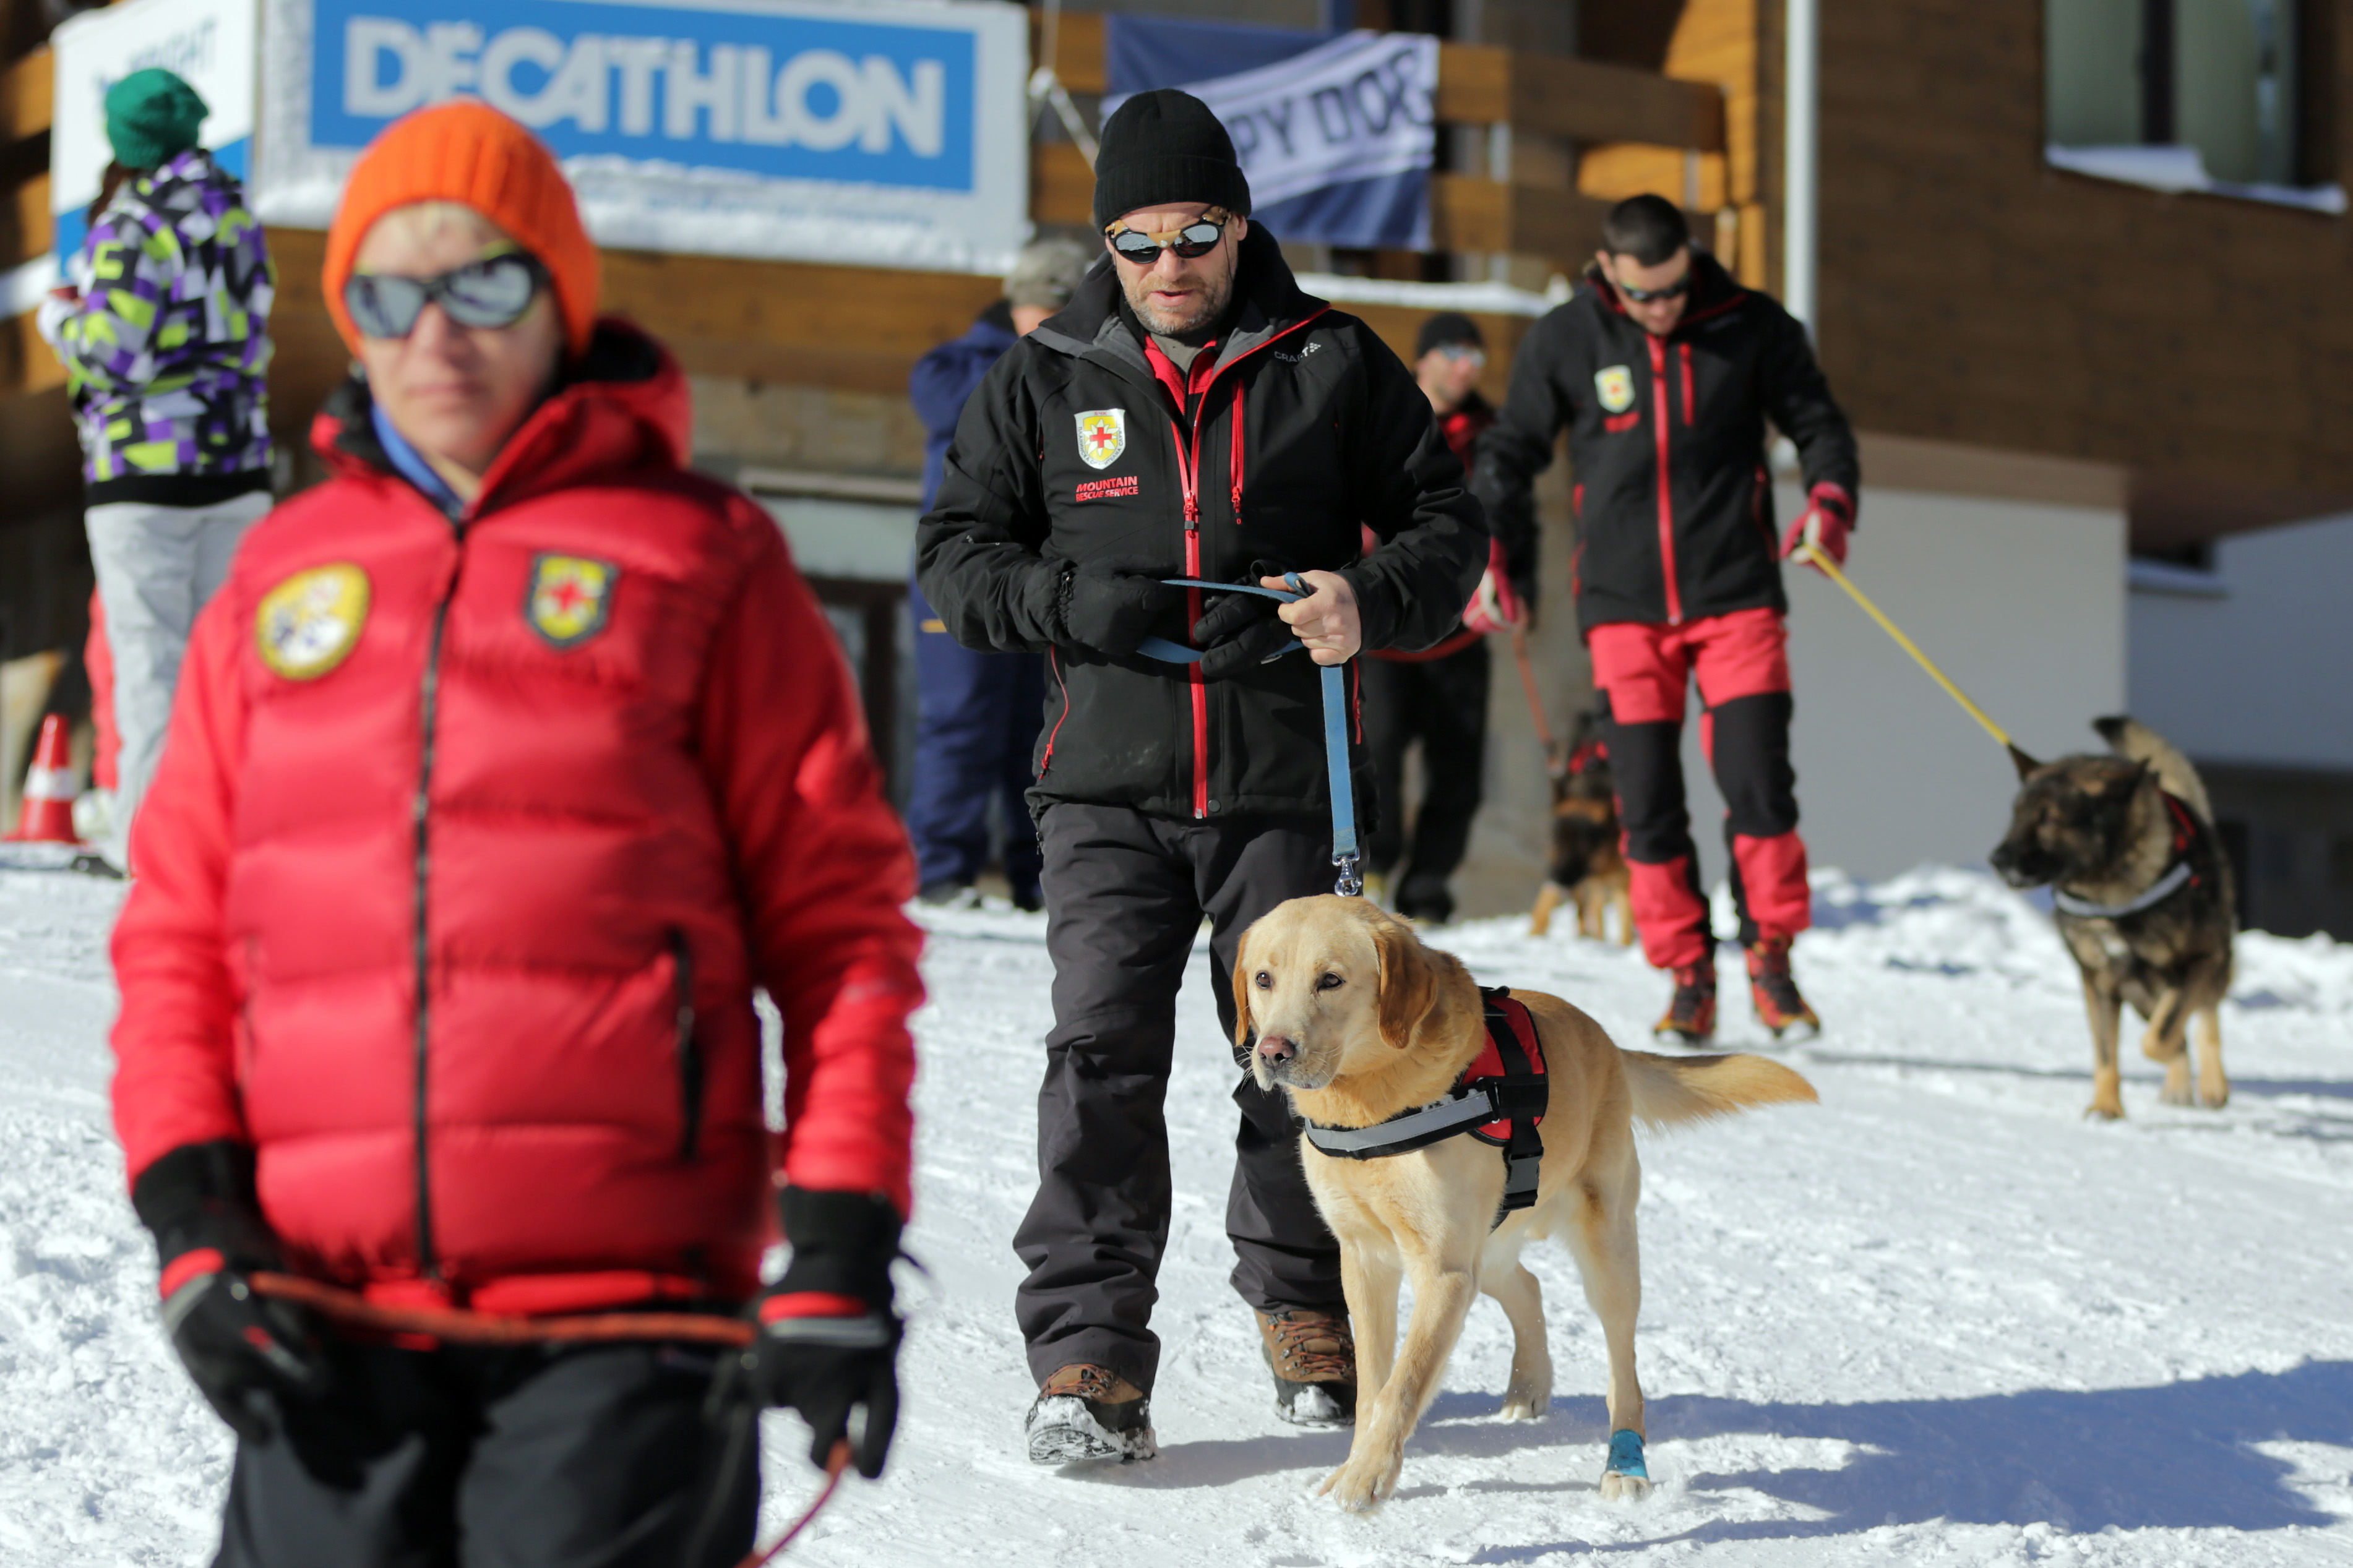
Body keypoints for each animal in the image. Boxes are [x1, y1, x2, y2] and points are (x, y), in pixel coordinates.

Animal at [1232, 902, 1816, 1514]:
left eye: (1331, 979)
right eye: (1263, 978)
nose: (1272, 1051)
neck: (1373, 1107)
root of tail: (1605, 1040)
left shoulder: (1442, 1271)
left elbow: (1404, 1384)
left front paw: (1366, 1477)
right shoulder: (1365, 1260)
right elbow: (1374, 1387)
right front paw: (1355, 1464)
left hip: (1604, 1253)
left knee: (1624, 1371)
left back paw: (1624, 1465)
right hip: (1487, 1253)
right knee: (1528, 1286)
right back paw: (1528, 1387)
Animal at [1995, 719, 2230, 1123]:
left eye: (2049, 818)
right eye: (2017, 814)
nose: (1996, 860)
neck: (2110, 892)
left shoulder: (2200, 961)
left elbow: (2159, 1038)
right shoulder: (2100, 981)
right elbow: (2107, 1051)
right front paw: (2106, 1106)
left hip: (2206, 969)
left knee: (2205, 1015)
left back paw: (2213, 1084)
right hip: (2140, 993)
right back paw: (2179, 1082)